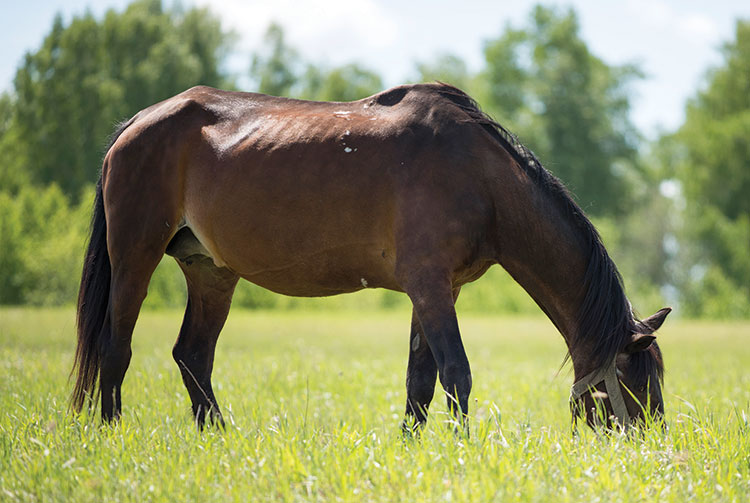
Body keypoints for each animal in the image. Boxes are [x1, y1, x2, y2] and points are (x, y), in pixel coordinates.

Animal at [70, 81, 672, 430]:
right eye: (637, 387)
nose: (648, 449)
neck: (479, 177)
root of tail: (136, 123)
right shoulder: (430, 286)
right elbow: (456, 375)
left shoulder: (436, 290)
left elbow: (419, 383)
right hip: (136, 255)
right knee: (115, 347)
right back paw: (111, 433)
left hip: (211, 272)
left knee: (192, 356)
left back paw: (219, 438)